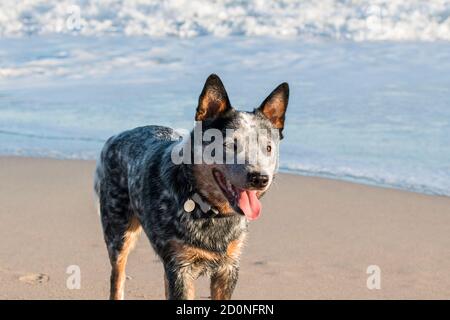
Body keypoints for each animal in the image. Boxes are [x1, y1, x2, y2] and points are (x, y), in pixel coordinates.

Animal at [96, 74, 290, 298]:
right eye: (230, 145)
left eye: (268, 148)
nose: (259, 178)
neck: (211, 211)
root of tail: (116, 137)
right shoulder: (180, 267)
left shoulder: (229, 266)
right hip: (118, 231)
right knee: (117, 274)